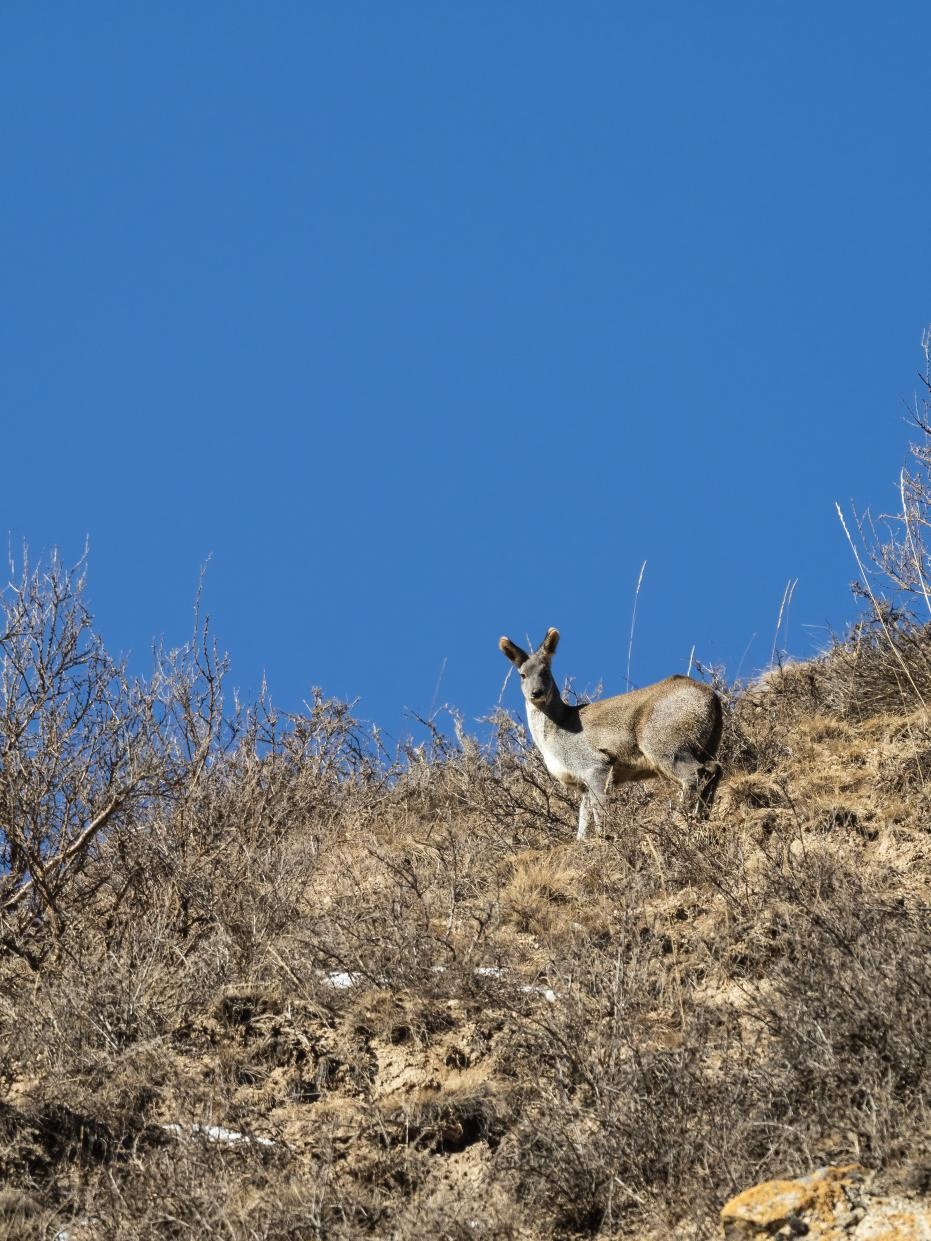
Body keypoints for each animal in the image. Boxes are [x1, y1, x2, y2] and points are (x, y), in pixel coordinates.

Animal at [499, 625, 724, 838]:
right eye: (522, 675)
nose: (536, 693)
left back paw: (679, 822)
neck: (557, 729)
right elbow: (583, 820)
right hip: (706, 745)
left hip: (663, 742)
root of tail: (712, 696)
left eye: (546, 671)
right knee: (714, 768)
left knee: (694, 774)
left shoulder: (595, 764)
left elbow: (599, 807)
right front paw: (583, 841)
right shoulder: (582, 784)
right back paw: (701, 818)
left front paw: (605, 836)